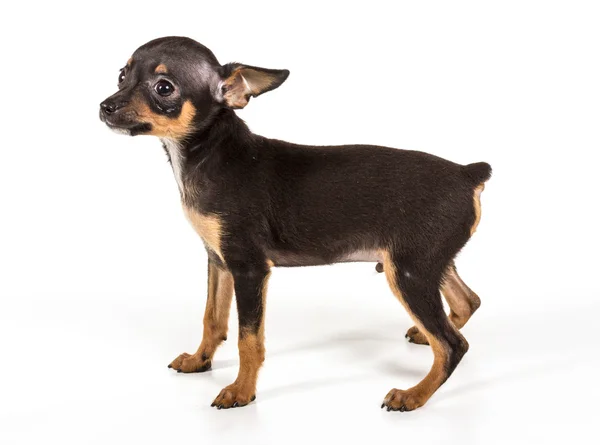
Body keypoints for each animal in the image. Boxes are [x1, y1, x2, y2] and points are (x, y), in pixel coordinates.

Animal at [99, 36, 492, 412]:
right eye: (122, 75)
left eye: (164, 87)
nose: (105, 106)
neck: (207, 154)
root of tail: (467, 173)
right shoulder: (218, 260)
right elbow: (213, 319)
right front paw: (200, 360)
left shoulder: (249, 269)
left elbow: (248, 338)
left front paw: (242, 391)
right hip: (426, 263)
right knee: (467, 302)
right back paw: (423, 339)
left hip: (409, 273)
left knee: (453, 344)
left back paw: (414, 395)